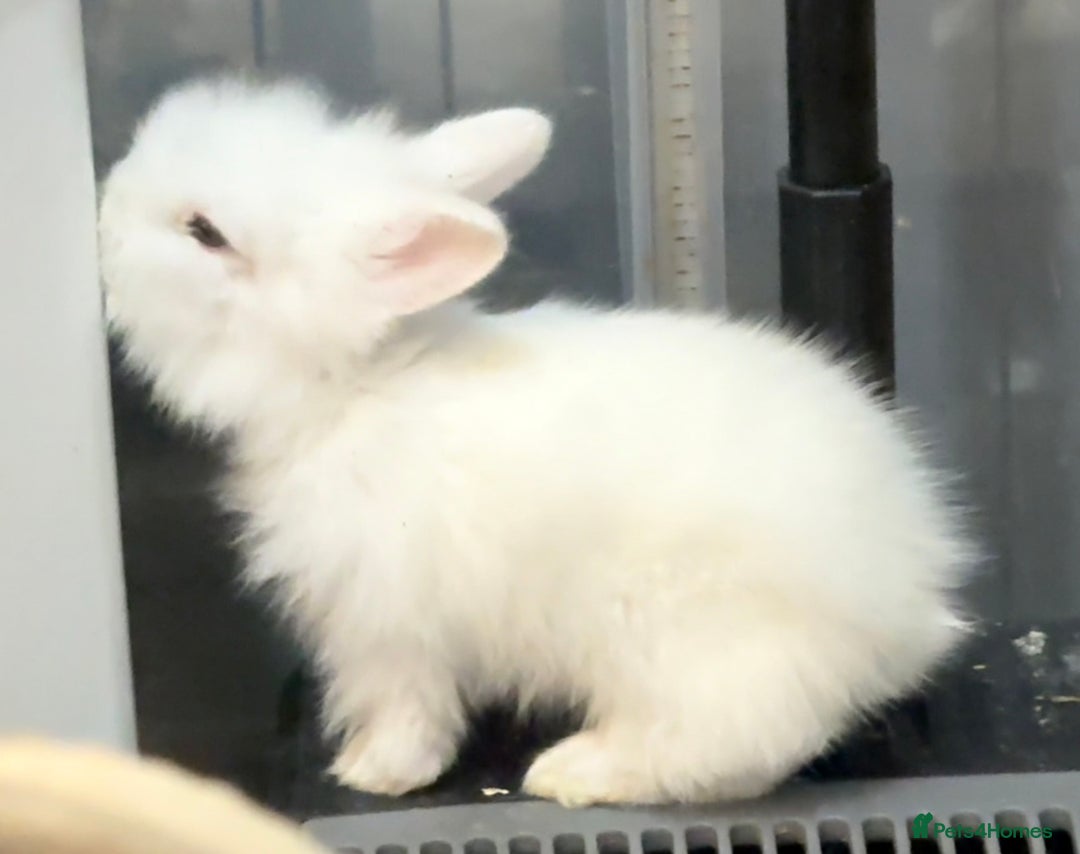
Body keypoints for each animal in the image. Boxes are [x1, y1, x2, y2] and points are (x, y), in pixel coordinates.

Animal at [98, 76, 973, 808]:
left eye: (205, 232)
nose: (107, 198)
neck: (356, 384)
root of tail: (911, 605)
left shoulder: (385, 623)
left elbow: (404, 709)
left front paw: (372, 773)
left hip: (692, 647)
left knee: (734, 744)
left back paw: (574, 772)